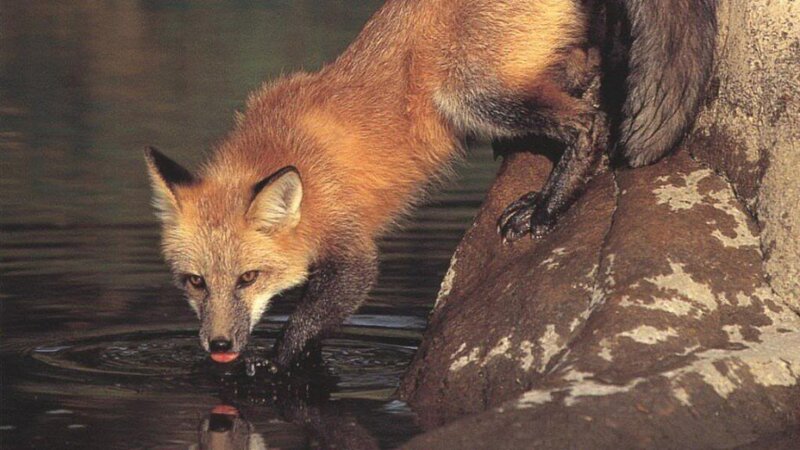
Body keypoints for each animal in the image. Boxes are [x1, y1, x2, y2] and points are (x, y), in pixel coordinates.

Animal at [145, 0, 717, 368]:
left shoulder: (350, 248)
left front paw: (273, 365)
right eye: (195, 282)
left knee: (590, 123)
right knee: (583, 72)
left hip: (469, 92)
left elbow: (317, 313)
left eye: (248, 278)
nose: (219, 346)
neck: (283, 149)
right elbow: (316, 325)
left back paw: (548, 205)